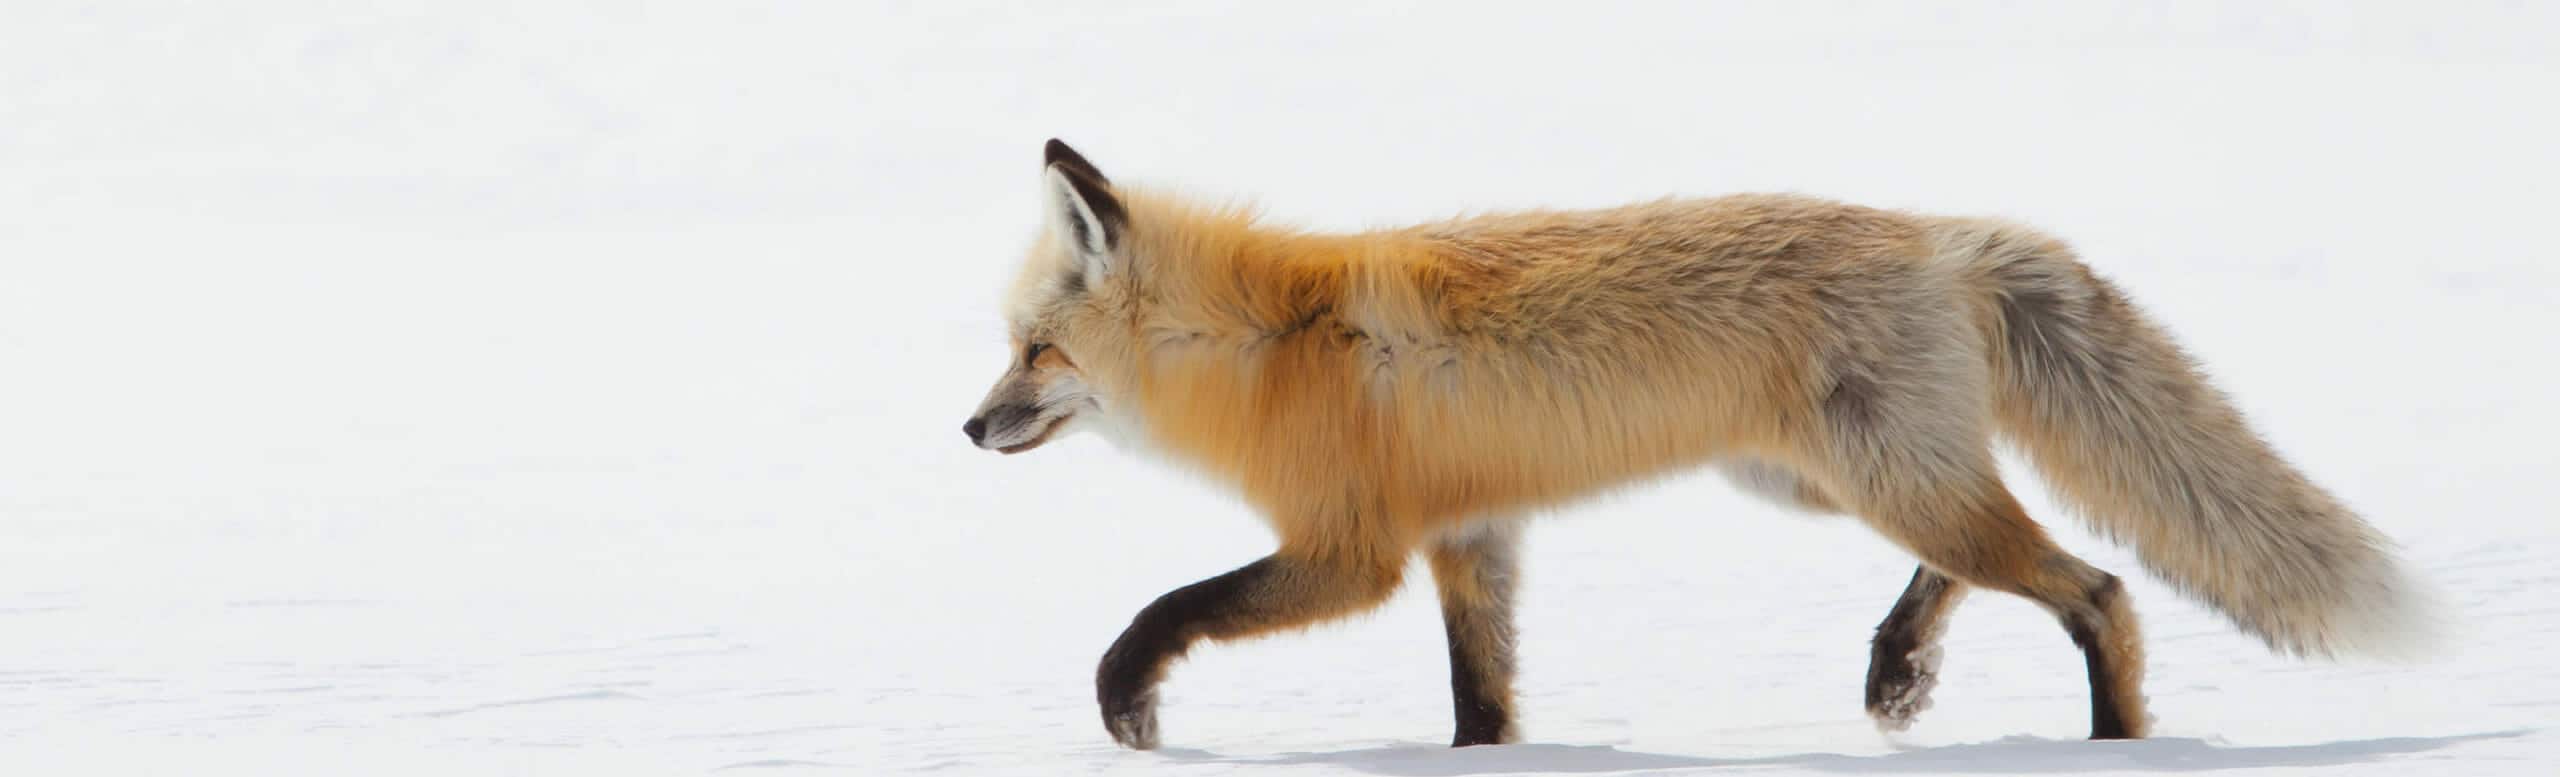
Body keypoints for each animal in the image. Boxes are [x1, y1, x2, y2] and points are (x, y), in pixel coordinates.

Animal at [964, 139, 2436, 750]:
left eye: (1033, 351)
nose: (968, 426)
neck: (1271, 340)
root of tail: (1945, 233)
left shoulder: (1348, 551)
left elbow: (1163, 610)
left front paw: (1127, 705)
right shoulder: (1469, 541)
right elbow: (1483, 703)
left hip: (1872, 480)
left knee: (2102, 591)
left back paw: (2117, 742)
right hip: (1827, 482)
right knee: (1995, 560)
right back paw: (1900, 671)